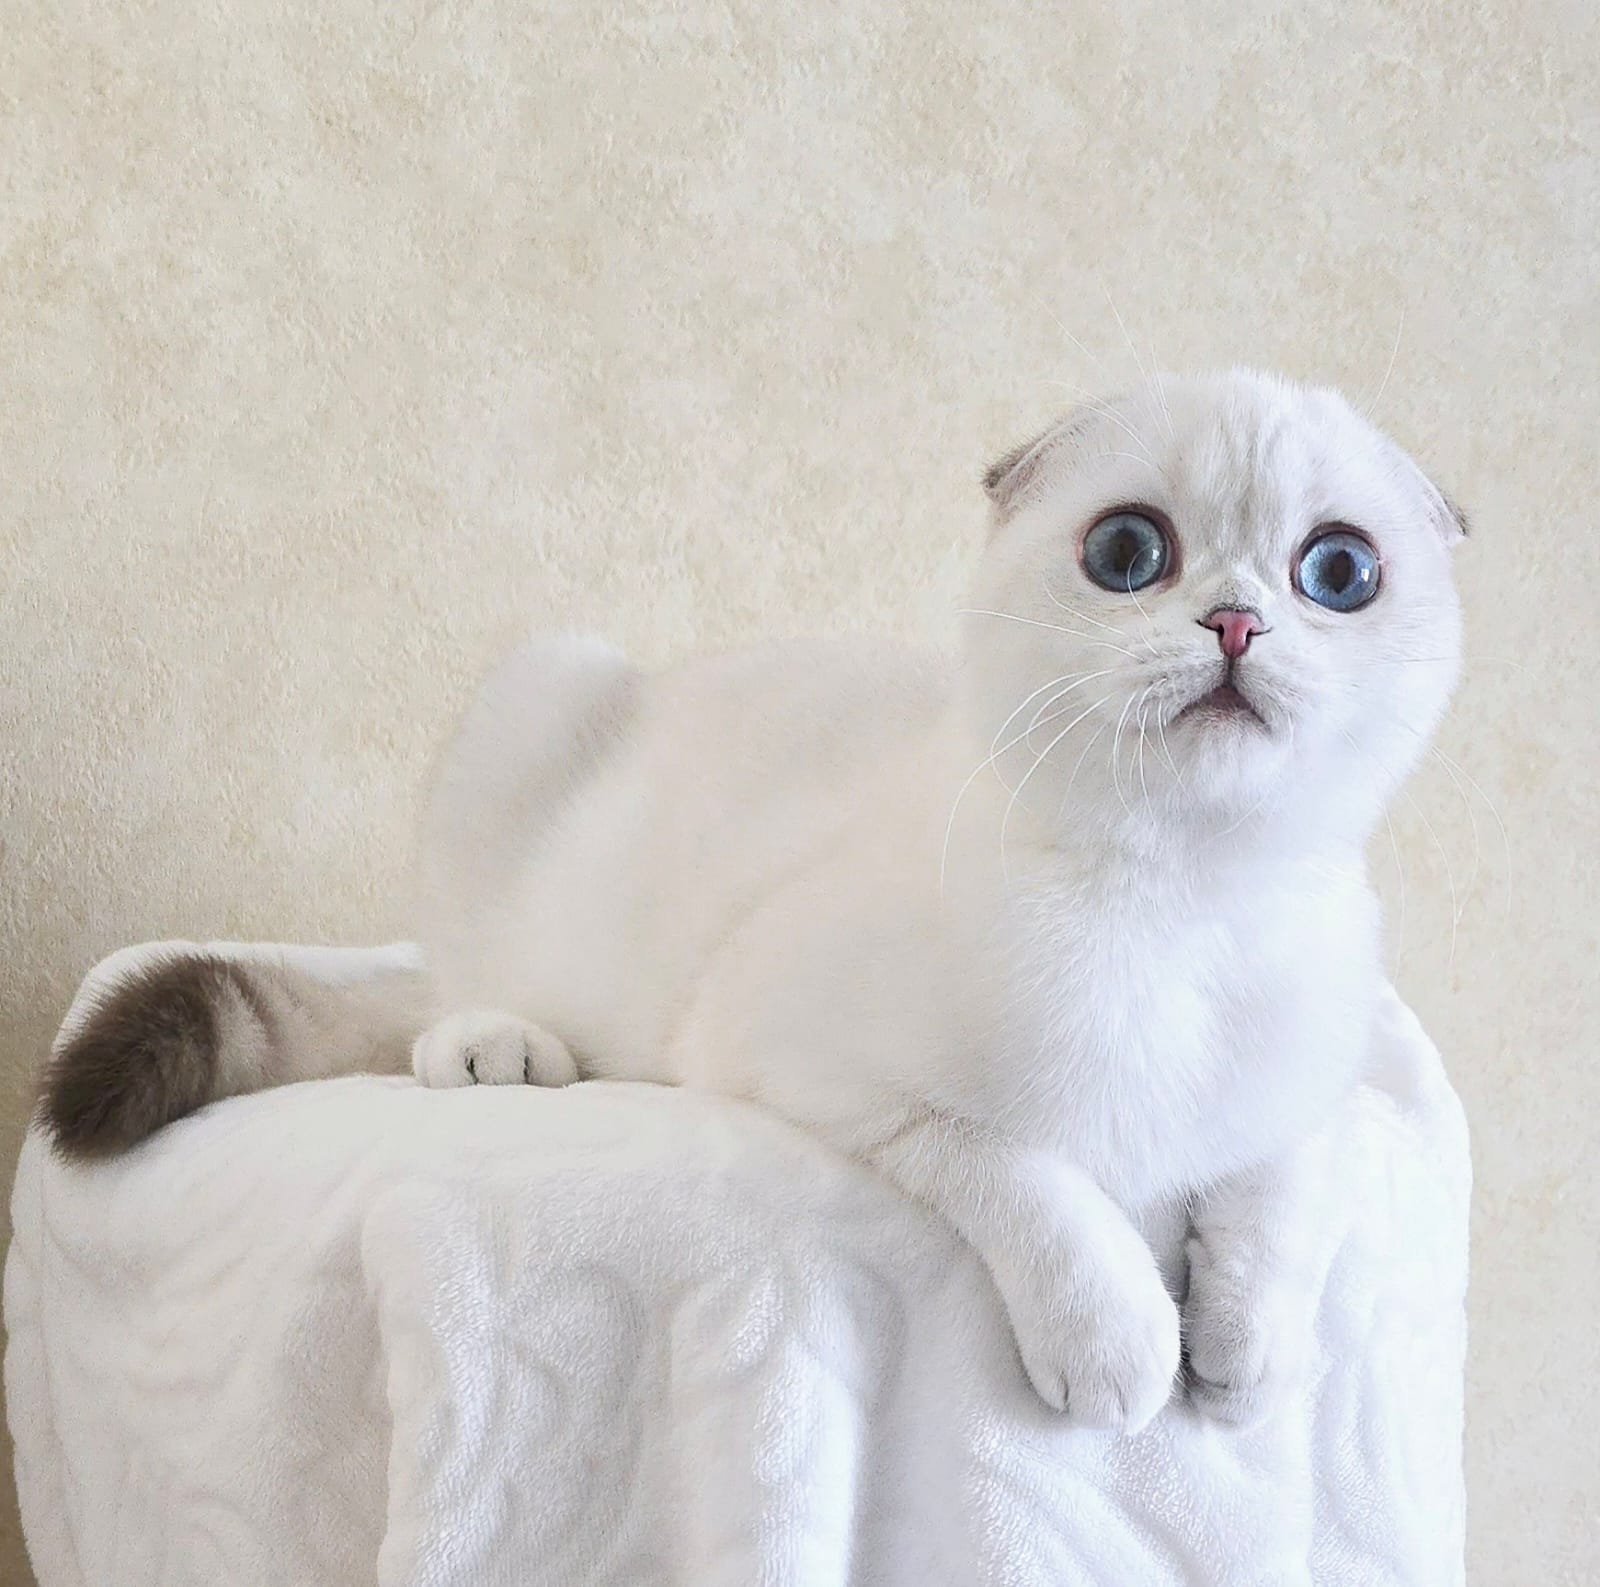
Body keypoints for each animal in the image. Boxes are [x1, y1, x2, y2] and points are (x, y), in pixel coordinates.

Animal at [41, 368, 1465, 1433]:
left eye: (1336, 574)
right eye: (1129, 551)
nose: (1235, 624)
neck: (1184, 905)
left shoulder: (1321, 1083)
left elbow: (1279, 1188)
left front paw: (1244, 1357)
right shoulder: (817, 1061)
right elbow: (1034, 1178)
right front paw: (1124, 1345)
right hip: (541, 690)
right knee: (444, 992)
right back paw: (505, 1052)